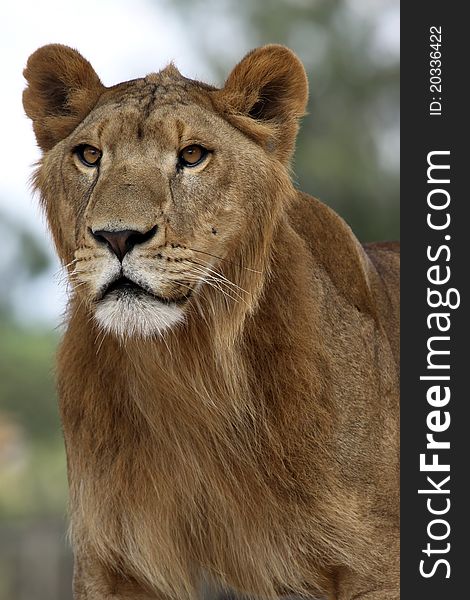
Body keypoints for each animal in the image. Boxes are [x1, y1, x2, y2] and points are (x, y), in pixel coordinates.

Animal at [21, 43, 396, 600]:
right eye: (89, 156)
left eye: (192, 155)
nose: (117, 237)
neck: (185, 368)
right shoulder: (111, 563)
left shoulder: (376, 566)